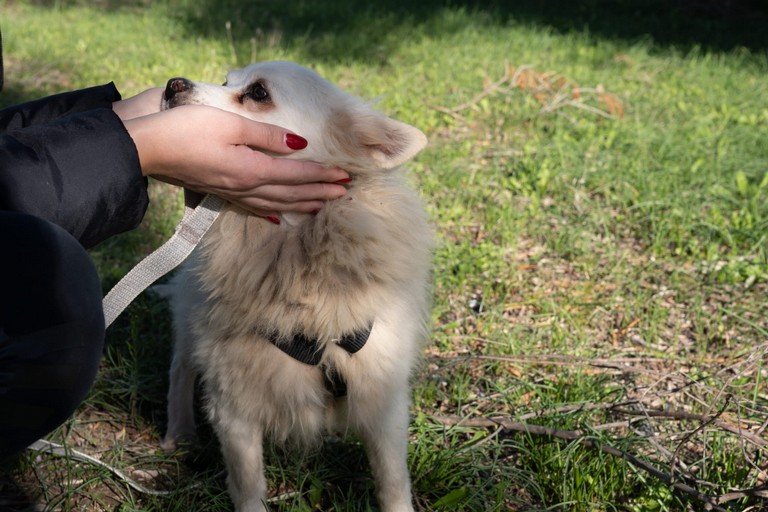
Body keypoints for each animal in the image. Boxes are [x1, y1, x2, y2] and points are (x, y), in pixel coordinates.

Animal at [158, 63, 432, 512]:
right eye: (226, 81)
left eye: (257, 93)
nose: (172, 84)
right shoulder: (234, 406)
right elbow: (248, 486)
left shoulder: (382, 398)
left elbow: (393, 482)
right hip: (189, 323)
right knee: (180, 368)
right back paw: (178, 433)